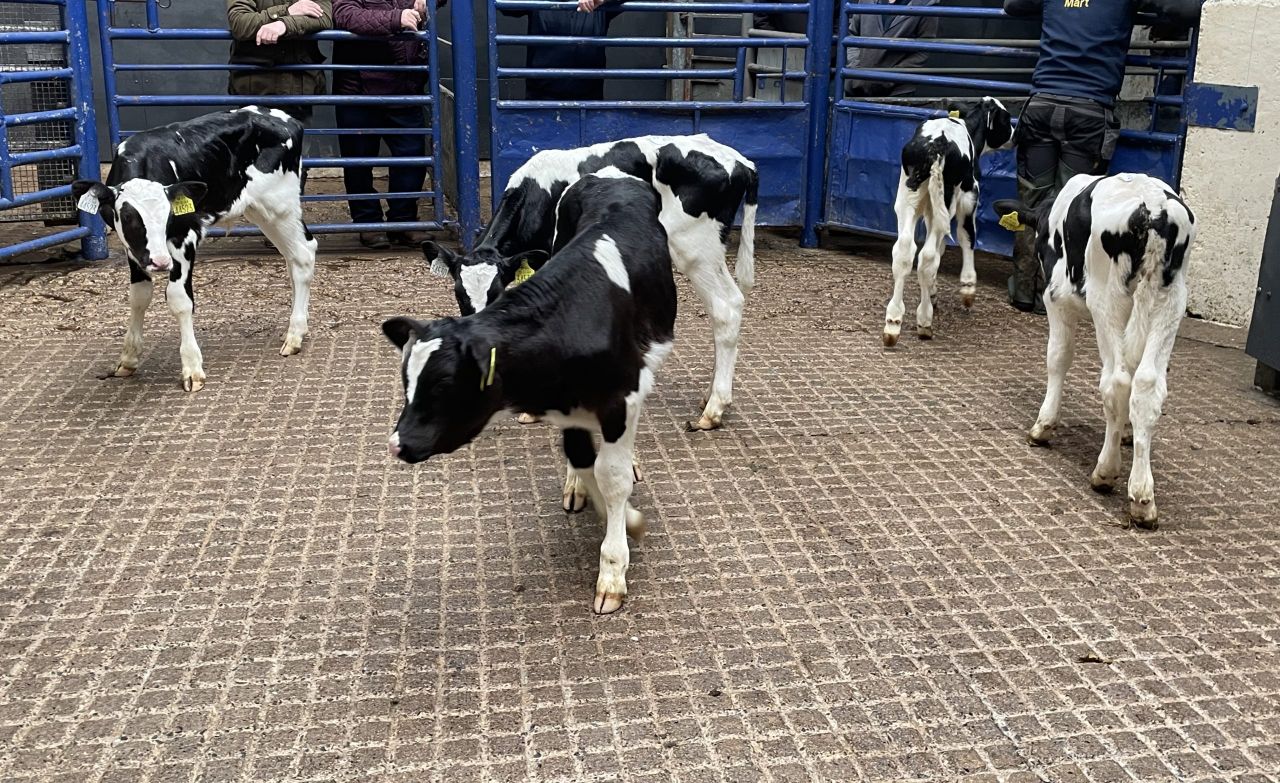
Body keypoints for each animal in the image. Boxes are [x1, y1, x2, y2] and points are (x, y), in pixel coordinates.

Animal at [71, 106, 317, 392]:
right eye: (129, 217)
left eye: (169, 217)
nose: (160, 262)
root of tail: (284, 117)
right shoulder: (133, 250)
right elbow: (139, 297)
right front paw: (129, 358)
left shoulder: (185, 236)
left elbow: (179, 299)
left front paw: (192, 367)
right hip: (260, 210)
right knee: (293, 257)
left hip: (280, 205)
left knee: (303, 255)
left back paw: (294, 334)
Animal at [383, 171, 677, 614]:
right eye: (407, 380)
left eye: (444, 384)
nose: (399, 444)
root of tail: (609, 176)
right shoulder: (567, 405)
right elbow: (583, 460)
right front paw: (620, 514)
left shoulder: (621, 396)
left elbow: (613, 476)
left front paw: (614, 567)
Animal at [424, 133, 757, 431]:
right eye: (459, 294)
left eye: (495, 293)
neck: (537, 193)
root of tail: (742, 162)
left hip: (695, 248)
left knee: (726, 306)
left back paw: (713, 409)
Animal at [883, 97, 1012, 347]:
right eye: (1005, 117)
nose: (1015, 133)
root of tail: (938, 143)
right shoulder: (969, 198)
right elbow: (967, 237)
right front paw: (968, 288)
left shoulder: (930, 211)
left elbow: (939, 246)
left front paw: (933, 290)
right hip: (946, 199)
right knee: (927, 257)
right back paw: (924, 321)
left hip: (907, 200)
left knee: (905, 252)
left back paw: (893, 322)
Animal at [993, 172, 1196, 528]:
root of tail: (1154, 208)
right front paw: (1127, 432)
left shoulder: (1055, 297)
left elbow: (1058, 356)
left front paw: (1043, 426)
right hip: (1171, 302)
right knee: (1147, 385)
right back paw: (1144, 498)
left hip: (1107, 300)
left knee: (1117, 381)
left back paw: (1107, 473)